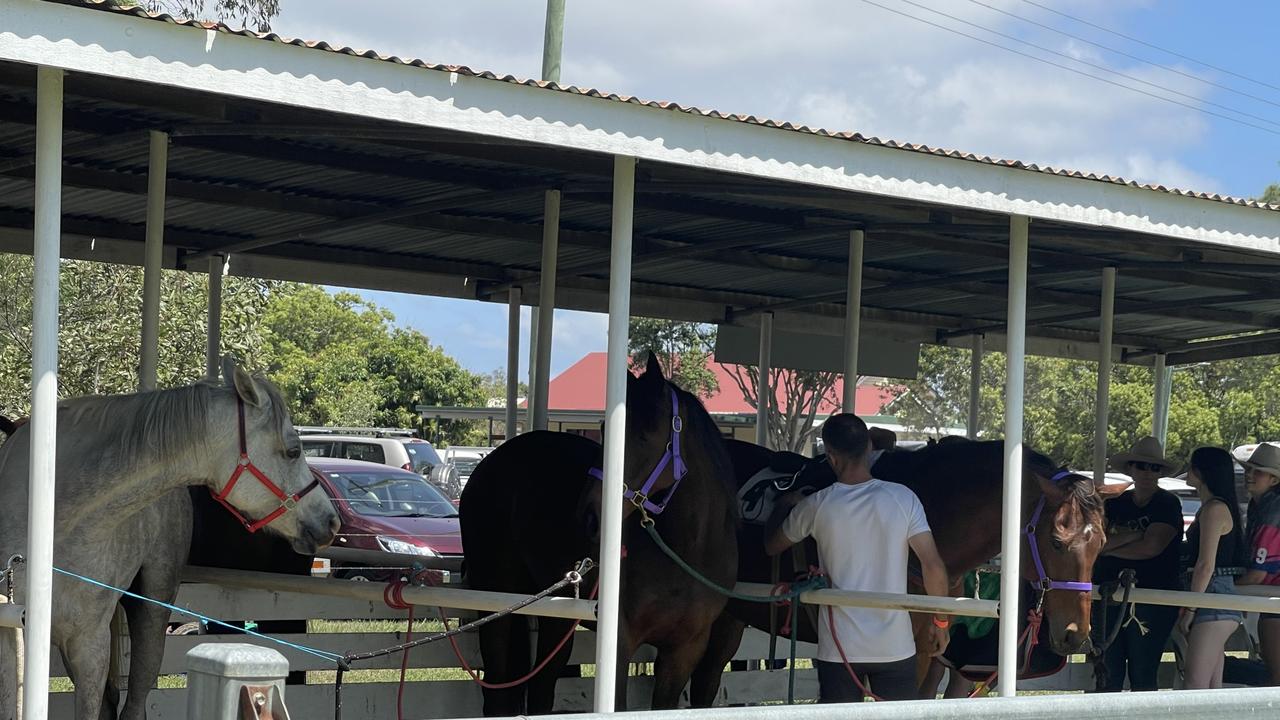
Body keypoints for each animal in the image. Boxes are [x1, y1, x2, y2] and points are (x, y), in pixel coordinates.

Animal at [0, 356, 337, 717]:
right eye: (293, 451)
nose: (331, 521)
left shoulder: (90, 645)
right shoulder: (13, 638)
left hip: (151, 614)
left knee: (133, 705)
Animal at [463, 353, 742, 712]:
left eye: (645, 435)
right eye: (606, 430)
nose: (589, 516)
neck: (686, 553)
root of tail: (489, 463)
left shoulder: (684, 651)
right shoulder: (619, 647)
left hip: (555, 616)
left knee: (541, 688)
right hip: (495, 602)